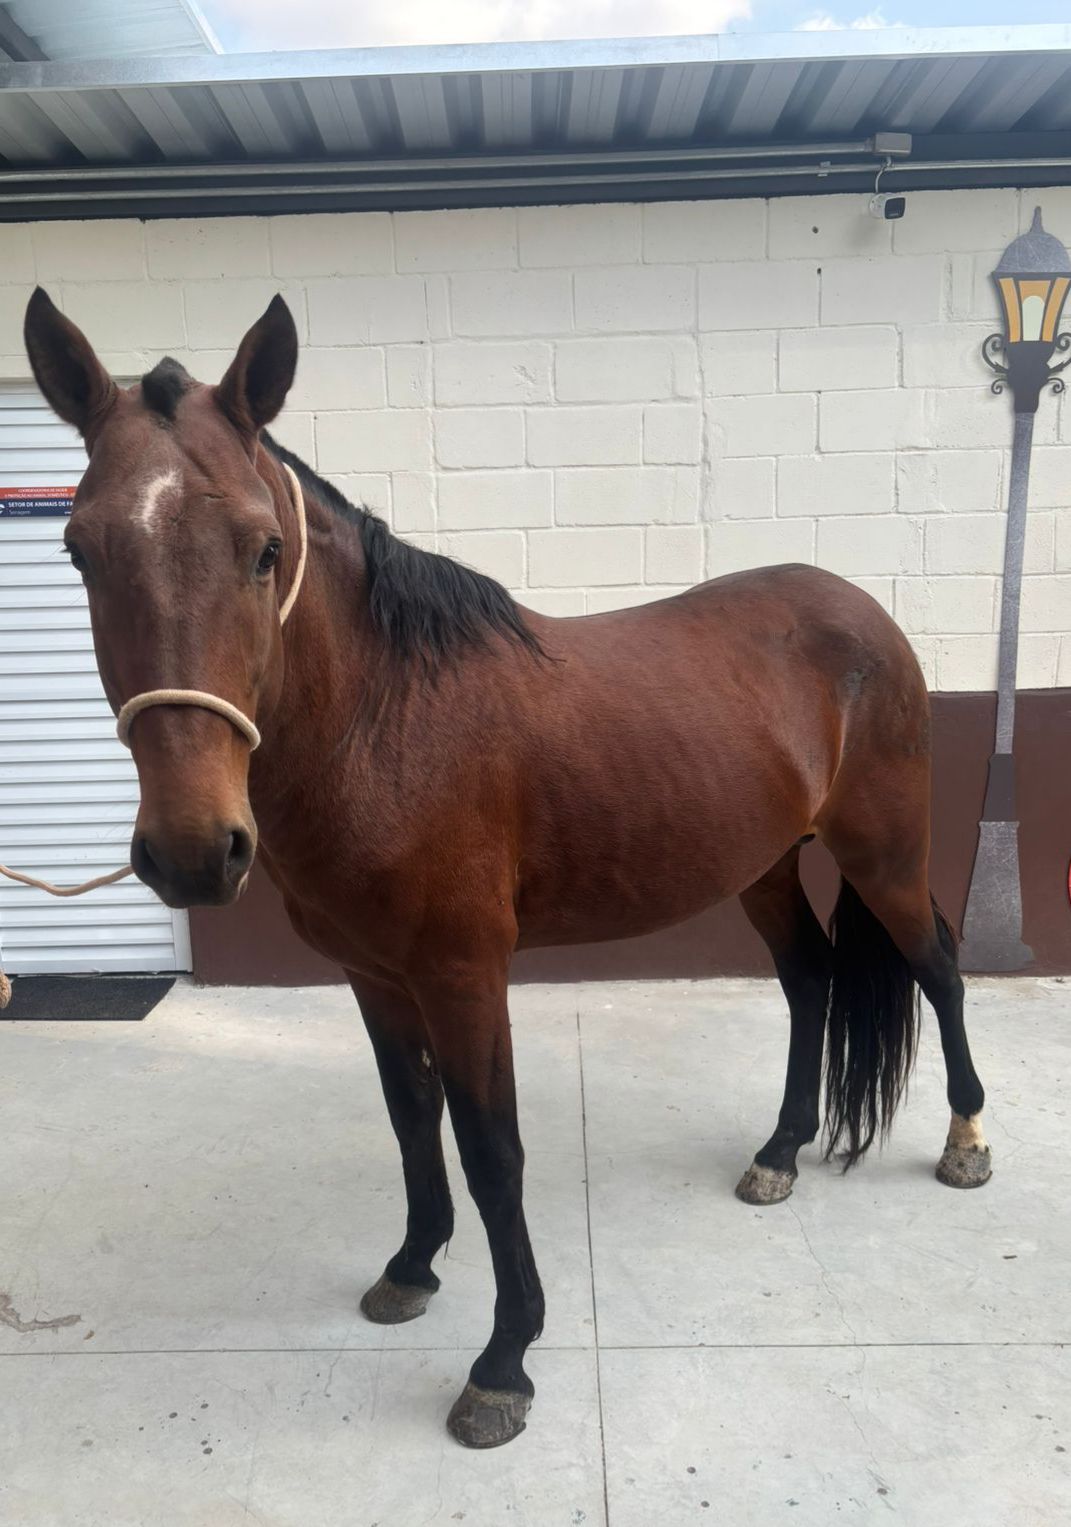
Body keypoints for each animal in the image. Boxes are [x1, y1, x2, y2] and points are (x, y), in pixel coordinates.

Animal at [22, 288, 991, 1450]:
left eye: (263, 549)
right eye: (78, 550)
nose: (191, 849)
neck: (386, 722)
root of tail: (864, 613)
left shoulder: (463, 974)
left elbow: (494, 1150)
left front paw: (503, 1362)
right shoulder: (374, 976)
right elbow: (412, 1121)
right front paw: (410, 1268)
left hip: (883, 852)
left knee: (936, 966)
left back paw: (966, 1142)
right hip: (761, 867)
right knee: (811, 981)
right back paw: (780, 1153)